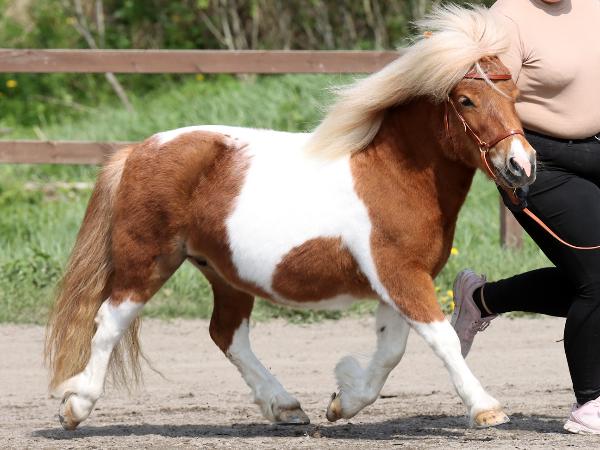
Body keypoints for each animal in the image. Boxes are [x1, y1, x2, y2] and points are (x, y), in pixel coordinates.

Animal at [45, 5, 536, 432]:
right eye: (467, 100)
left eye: (515, 95)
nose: (521, 165)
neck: (392, 175)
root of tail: (136, 151)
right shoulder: (399, 275)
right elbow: (442, 341)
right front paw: (487, 409)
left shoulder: (399, 280)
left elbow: (391, 350)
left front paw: (342, 400)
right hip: (146, 261)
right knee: (108, 322)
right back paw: (75, 406)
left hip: (222, 272)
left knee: (227, 334)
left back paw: (285, 407)